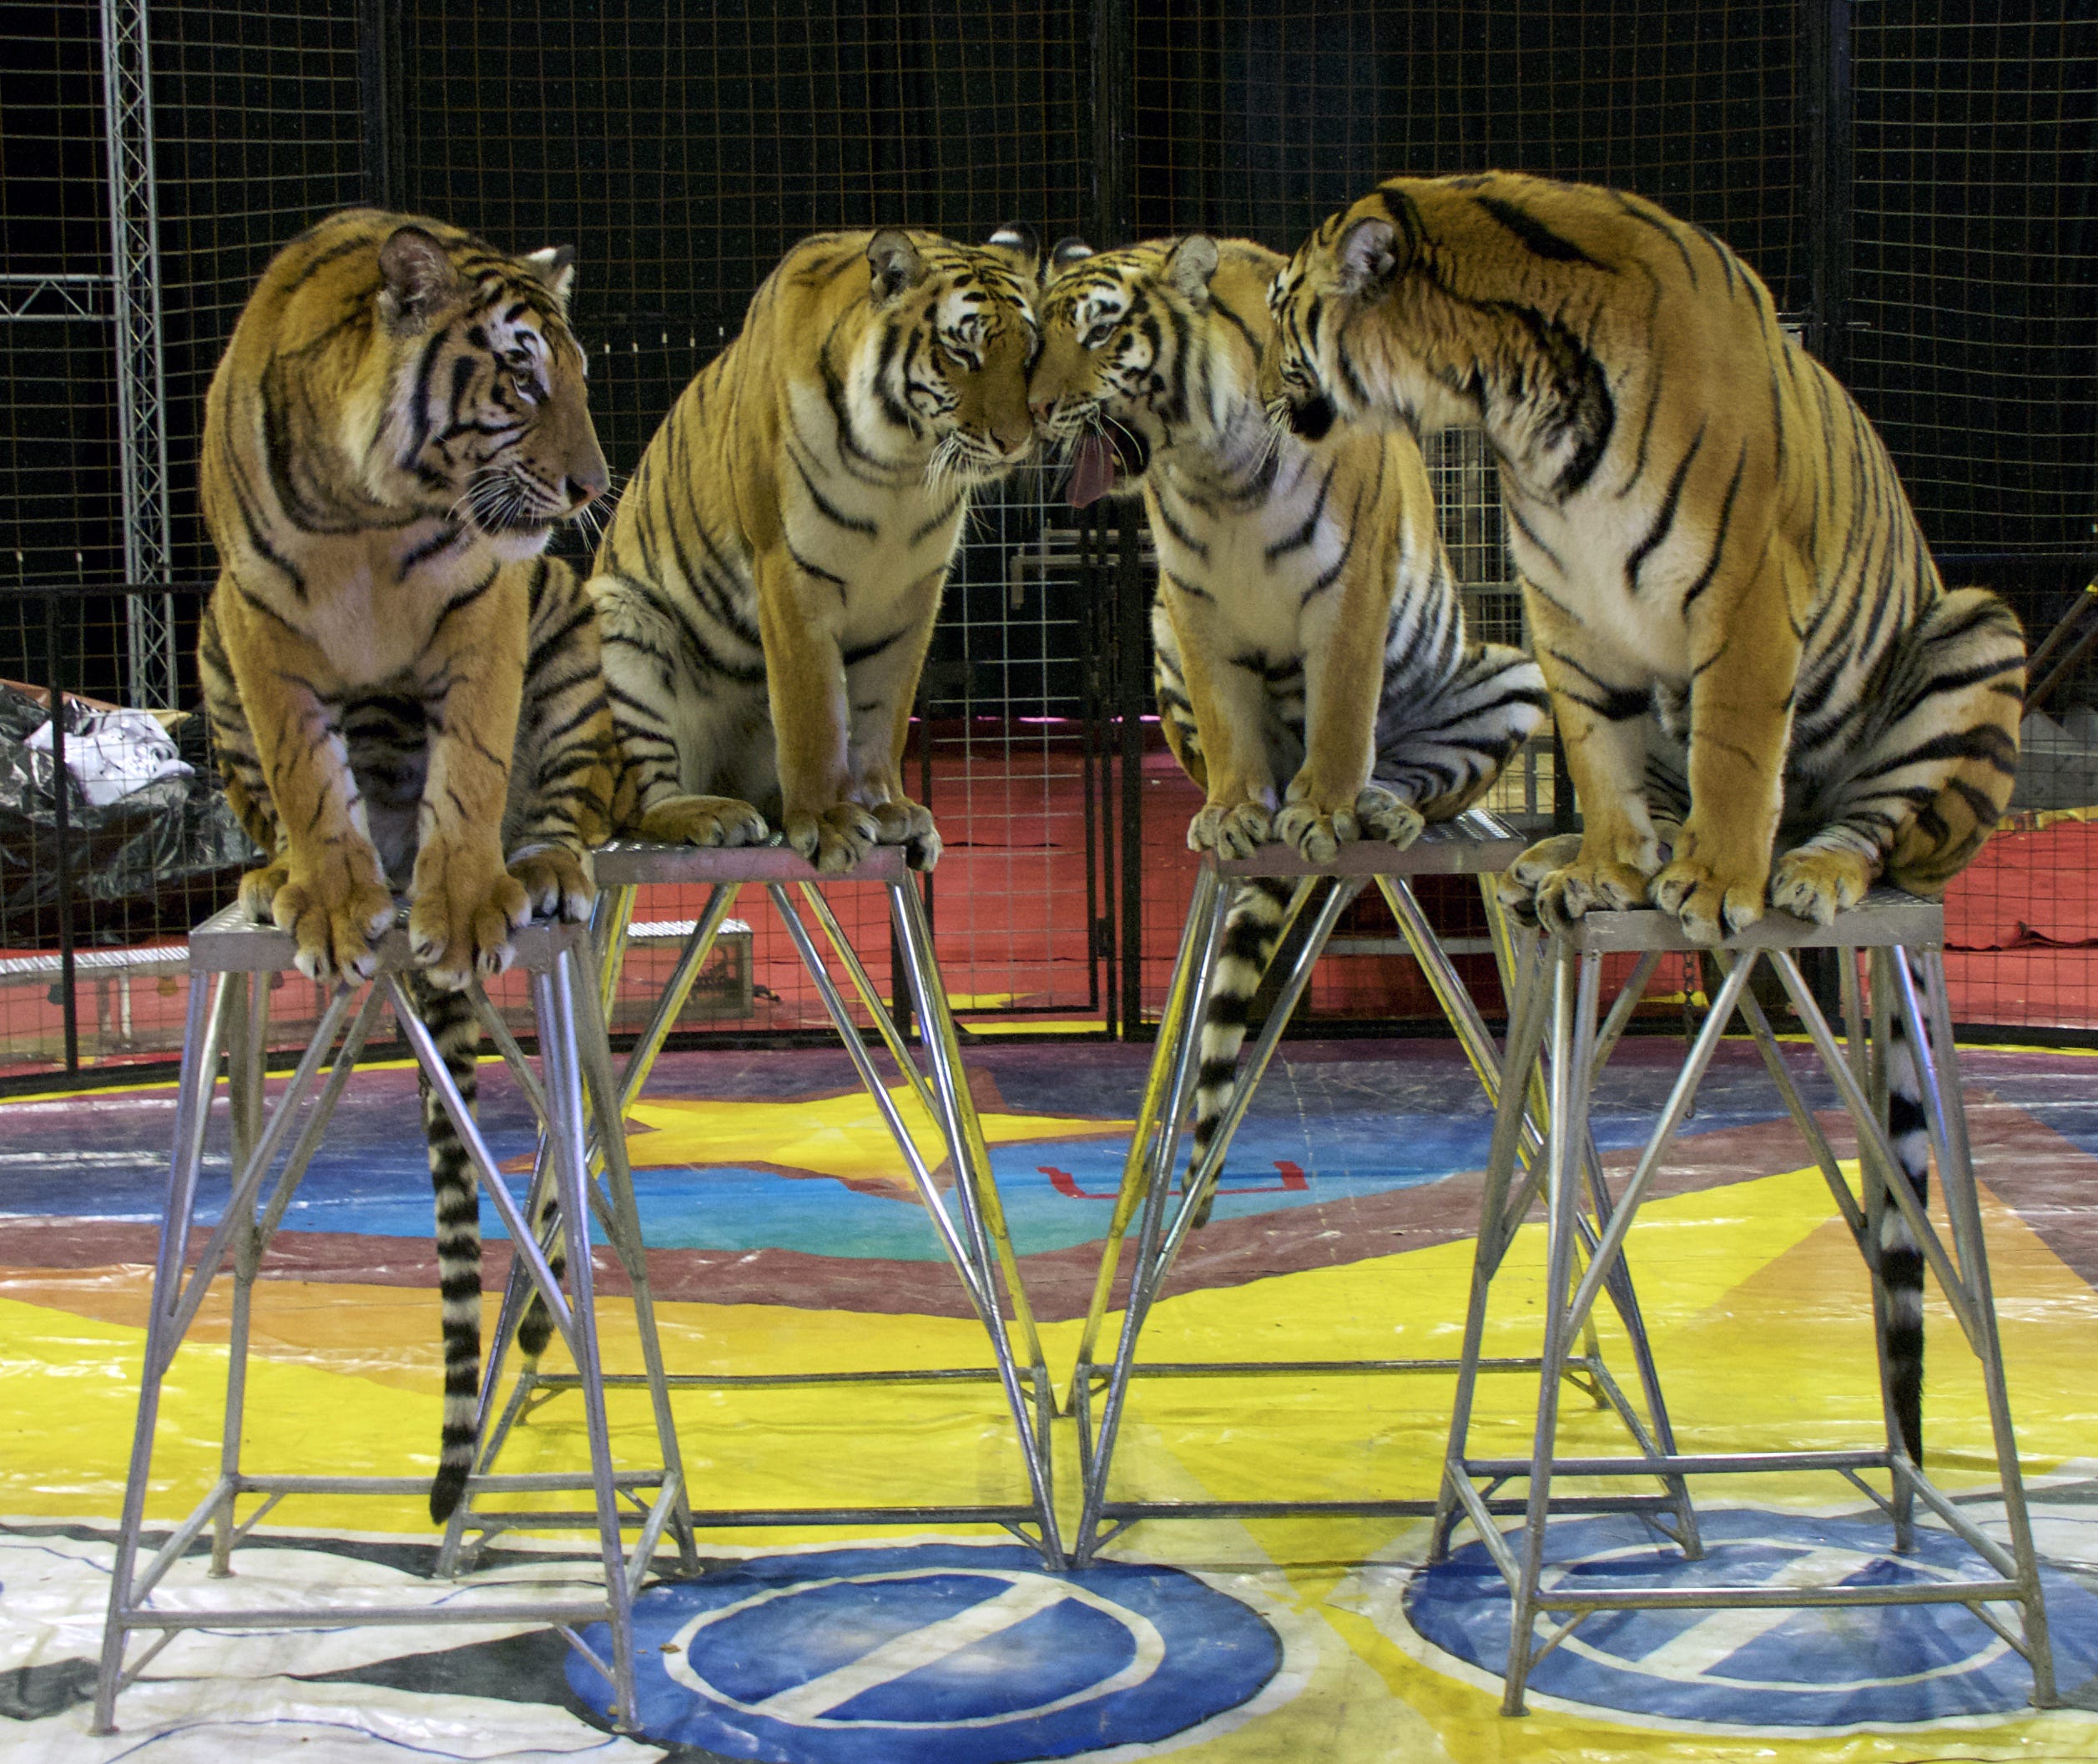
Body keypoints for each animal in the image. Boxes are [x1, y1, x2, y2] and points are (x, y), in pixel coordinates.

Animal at [197, 213, 613, 1518]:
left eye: (581, 377)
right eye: (521, 380)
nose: (589, 486)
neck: (372, 514)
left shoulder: (491, 597)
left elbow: (470, 768)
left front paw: (469, 902)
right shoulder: (255, 618)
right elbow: (302, 775)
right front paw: (334, 902)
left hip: (571, 627)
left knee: (563, 796)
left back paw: (546, 868)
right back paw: (277, 882)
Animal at [587, 227, 1044, 872]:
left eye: (1029, 354)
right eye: (963, 353)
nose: (1017, 440)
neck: (901, 472)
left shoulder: (912, 593)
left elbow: (882, 712)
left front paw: (884, 805)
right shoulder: (790, 570)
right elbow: (813, 714)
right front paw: (828, 821)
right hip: (616, 617)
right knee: (637, 805)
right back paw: (711, 814)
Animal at [1031, 234, 1544, 1224]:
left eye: (1102, 331)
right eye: (1038, 332)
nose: (1033, 412)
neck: (1212, 470)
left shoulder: (1349, 594)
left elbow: (1342, 715)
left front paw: (1322, 809)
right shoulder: (1191, 605)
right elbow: (1229, 727)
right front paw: (1240, 812)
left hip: (1511, 675)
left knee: (1422, 776)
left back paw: (1382, 810)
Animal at [1250, 169, 2022, 1459]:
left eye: (1280, 308)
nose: (1256, 384)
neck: (1510, 396)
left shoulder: (1747, 589)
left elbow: (1738, 748)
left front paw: (1711, 880)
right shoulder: (1569, 605)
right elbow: (1599, 754)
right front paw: (1608, 867)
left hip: (1973, 632)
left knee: (1882, 834)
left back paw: (1803, 869)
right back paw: (1562, 852)